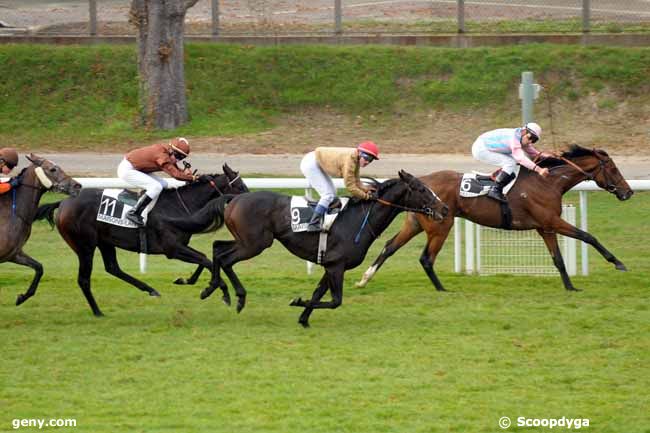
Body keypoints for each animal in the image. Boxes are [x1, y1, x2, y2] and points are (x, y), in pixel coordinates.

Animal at [0, 154, 81, 306]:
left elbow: (39, 268)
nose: (77, 186)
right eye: (53, 169)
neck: (13, 212)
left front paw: (22, 297)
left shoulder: (13, 254)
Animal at [35, 164, 248, 316]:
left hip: (105, 241)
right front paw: (219, 291)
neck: (177, 207)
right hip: (84, 245)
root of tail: (63, 202)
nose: (249, 202)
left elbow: (204, 260)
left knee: (113, 268)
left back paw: (150, 289)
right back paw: (97, 311)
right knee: (84, 279)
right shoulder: (172, 249)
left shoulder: (180, 246)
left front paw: (186, 280)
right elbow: (206, 259)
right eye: (239, 185)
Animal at [167, 170, 448, 326]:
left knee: (217, 249)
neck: (358, 220)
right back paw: (235, 296)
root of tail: (235, 198)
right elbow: (335, 301)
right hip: (255, 244)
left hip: (246, 240)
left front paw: (303, 318)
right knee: (225, 258)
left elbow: (319, 294)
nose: (444, 208)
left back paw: (212, 288)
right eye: (421, 188)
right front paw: (297, 302)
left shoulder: (331, 265)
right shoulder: (336, 266)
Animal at [354, 144, 632, 290]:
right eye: (614, 168)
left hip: (416, 222)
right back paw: (442, 289)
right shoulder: (552, 222)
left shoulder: (545, 227)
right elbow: (587, 236)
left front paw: (570, 286)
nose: (628, 192)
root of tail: (421, 181)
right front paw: (618, 262)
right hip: (441, 225)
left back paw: (365, 278)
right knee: (426, 258)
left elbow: (559, 259)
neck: (548, 182)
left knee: (389, 246)